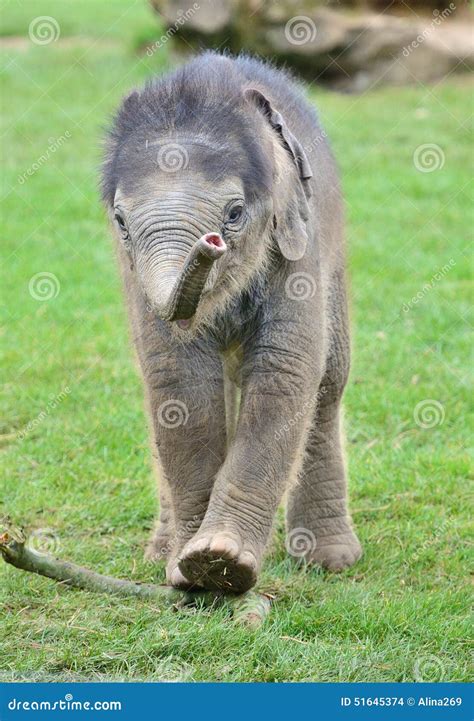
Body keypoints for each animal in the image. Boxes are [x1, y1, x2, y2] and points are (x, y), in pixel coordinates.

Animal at [99, 50, 360, 592]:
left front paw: (221, 559)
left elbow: (285, 371)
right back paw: (161, 549)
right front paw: (191, 567)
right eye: (121, 222)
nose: (210, 243)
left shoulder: (298, 245)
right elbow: (177, 383)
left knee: (328, 383)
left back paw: (330, 559)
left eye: (235, 213)